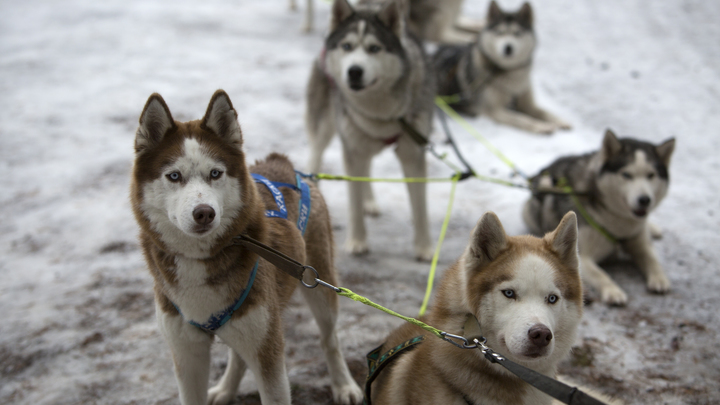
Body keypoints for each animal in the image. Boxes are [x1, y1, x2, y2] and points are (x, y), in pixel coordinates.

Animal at [131, 90, 360, 402]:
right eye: (174, 176)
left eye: (215, 173)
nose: (204, 213)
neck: (199, 262)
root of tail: (282, 163)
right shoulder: (187, 355)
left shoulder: (269, 355)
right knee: (239, 356)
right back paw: (226, 389)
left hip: (318, 286)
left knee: (329, 339)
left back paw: (343, 384)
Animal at [306, 0, 436, 258]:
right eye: (347, 46)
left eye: (374, 48)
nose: (354, 71)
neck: (382, 113)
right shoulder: (352, 149)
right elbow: (353, 202)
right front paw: (357, 241)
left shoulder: (413, 154)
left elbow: (421, 207)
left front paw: (424, 247)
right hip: (326, 124)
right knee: (316, 152)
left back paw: (370, 201)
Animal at [430, 1, 572, 134]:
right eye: (499, 33)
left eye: (517, 33)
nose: (508, 48)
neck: (510, 75)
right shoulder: (494, 110)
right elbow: (521, 118)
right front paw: (540, 126)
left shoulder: (528, 104)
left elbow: (544, 112)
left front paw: (561, 121)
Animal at [524, 129, 676, 304]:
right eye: (626, 175)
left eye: (651, 175)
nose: (644, 200)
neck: (618, 224)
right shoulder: (582, 256)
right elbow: (600, 274)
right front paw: (613, 290)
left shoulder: (638, 239)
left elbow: (651, 258)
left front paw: (659, 278)